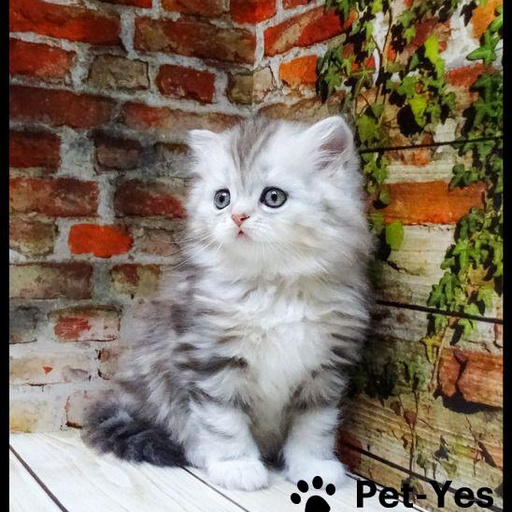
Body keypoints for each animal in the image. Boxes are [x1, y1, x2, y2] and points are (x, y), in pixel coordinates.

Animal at [83, 114, 373, 491]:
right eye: (222, 198)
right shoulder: (209, 358)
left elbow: (314, 427)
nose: (237, 216)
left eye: (273, 197)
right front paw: (237, 466)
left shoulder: (325, 370)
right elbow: (223, 422)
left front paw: (313, 467)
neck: (271, 286)